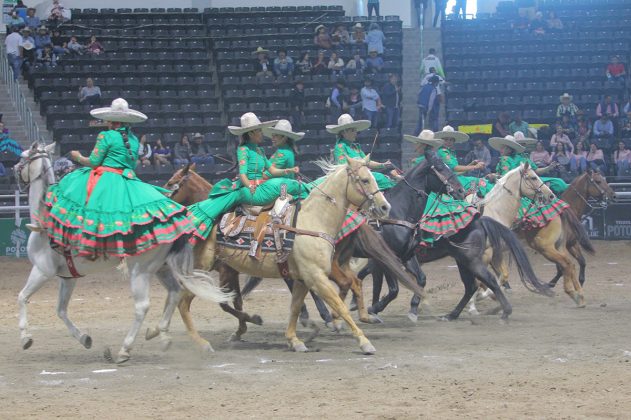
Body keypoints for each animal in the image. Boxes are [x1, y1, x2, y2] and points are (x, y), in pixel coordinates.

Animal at [15, 142, 235, 364]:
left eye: (23, 157)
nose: (14, 169)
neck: (44, 220)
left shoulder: (42, 270)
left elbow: (22, 297)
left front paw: (25, 337)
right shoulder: (68, 277)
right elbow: (61, 310)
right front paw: (84, 338)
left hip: (140, 271)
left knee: (142, 306)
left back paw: (125, 349)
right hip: (160, 269)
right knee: (175, 292)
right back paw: (161, 335)